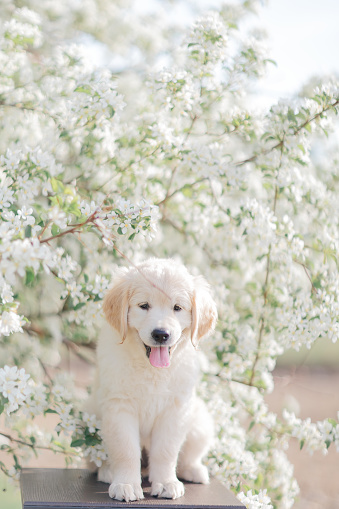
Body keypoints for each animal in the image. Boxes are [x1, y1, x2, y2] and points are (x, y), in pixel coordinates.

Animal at [87, 258, 218, 500]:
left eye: (177, 308)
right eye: (144, 305)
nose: (160, 334)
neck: (151, 369)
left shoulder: (175, 410)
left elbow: (166, 451)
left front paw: (166, 482)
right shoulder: (119, 406)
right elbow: (125, 448)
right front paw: (126, 484)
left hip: (199, 421)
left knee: (188, 455)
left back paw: (193, 470)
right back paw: (108, 471)